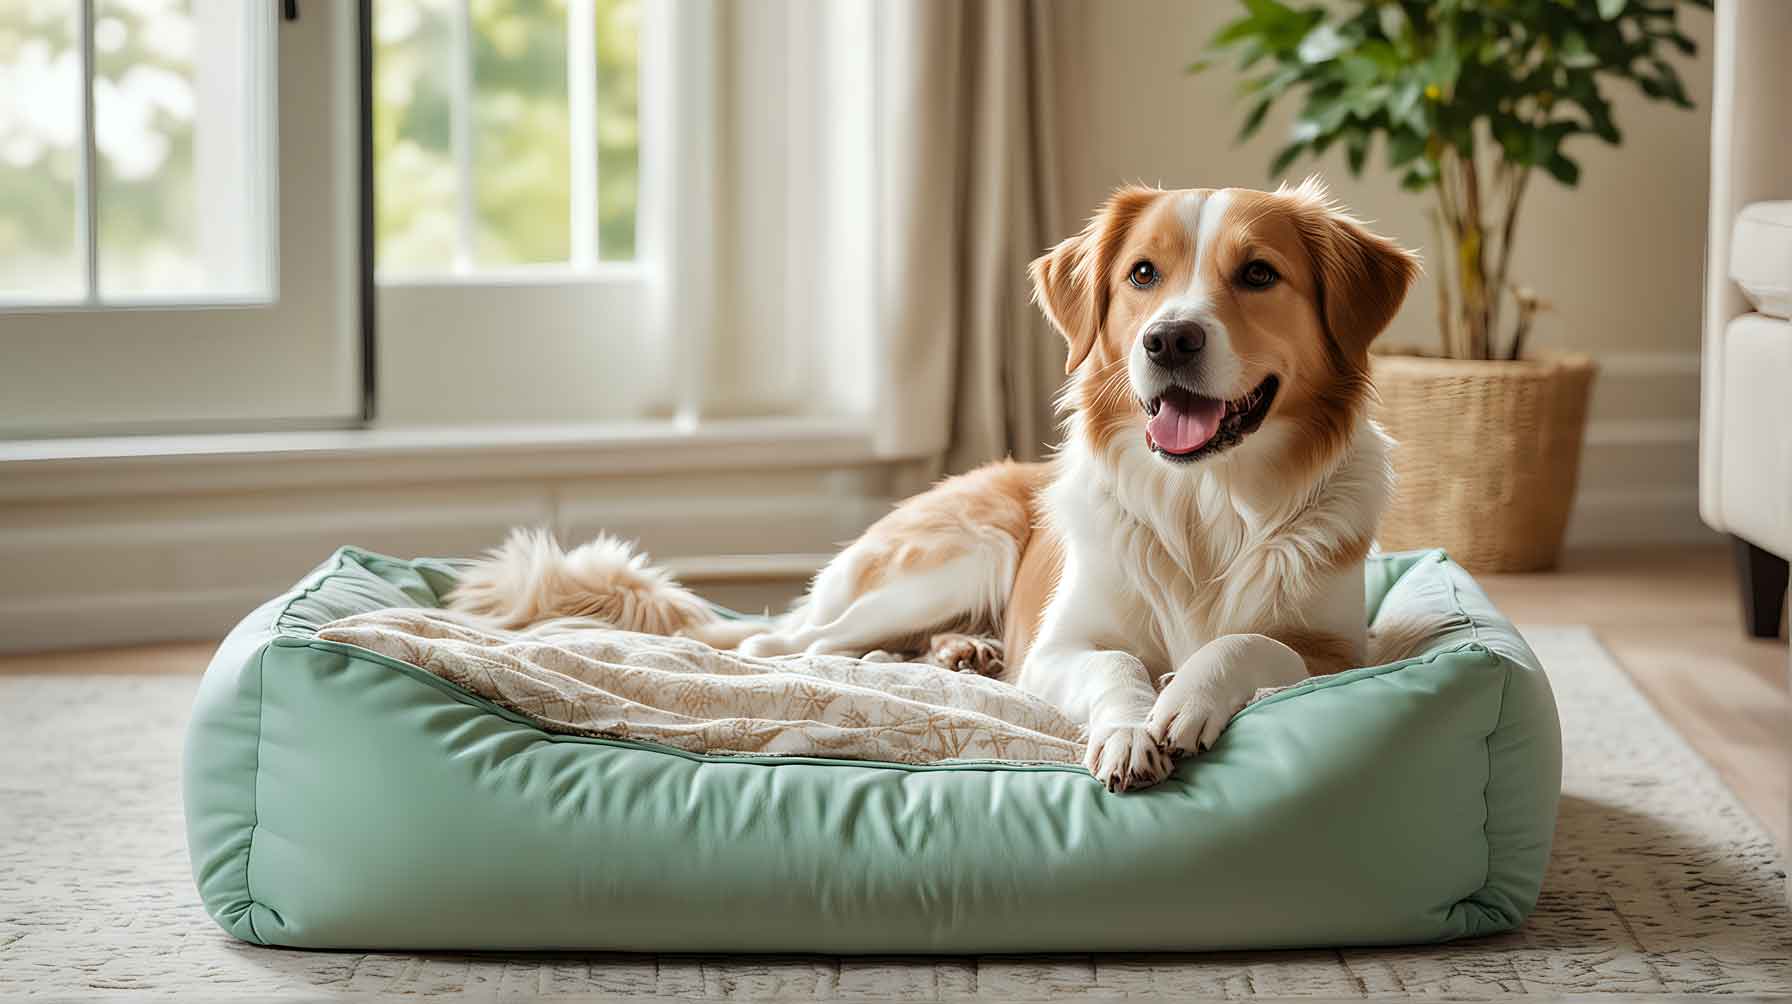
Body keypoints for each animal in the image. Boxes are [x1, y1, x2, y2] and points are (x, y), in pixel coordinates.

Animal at [448, 180, 1412, 792]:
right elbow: (1115, 669)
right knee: (789, 645)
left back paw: (960, 655)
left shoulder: (1343, 651)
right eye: (1144, 274)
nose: (1169, 340)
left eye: (1258, 274)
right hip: (956, 556)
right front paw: (1132, 727)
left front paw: (1186, 701)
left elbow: (1244, 643)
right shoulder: (1059, 648)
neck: (1205, 504)